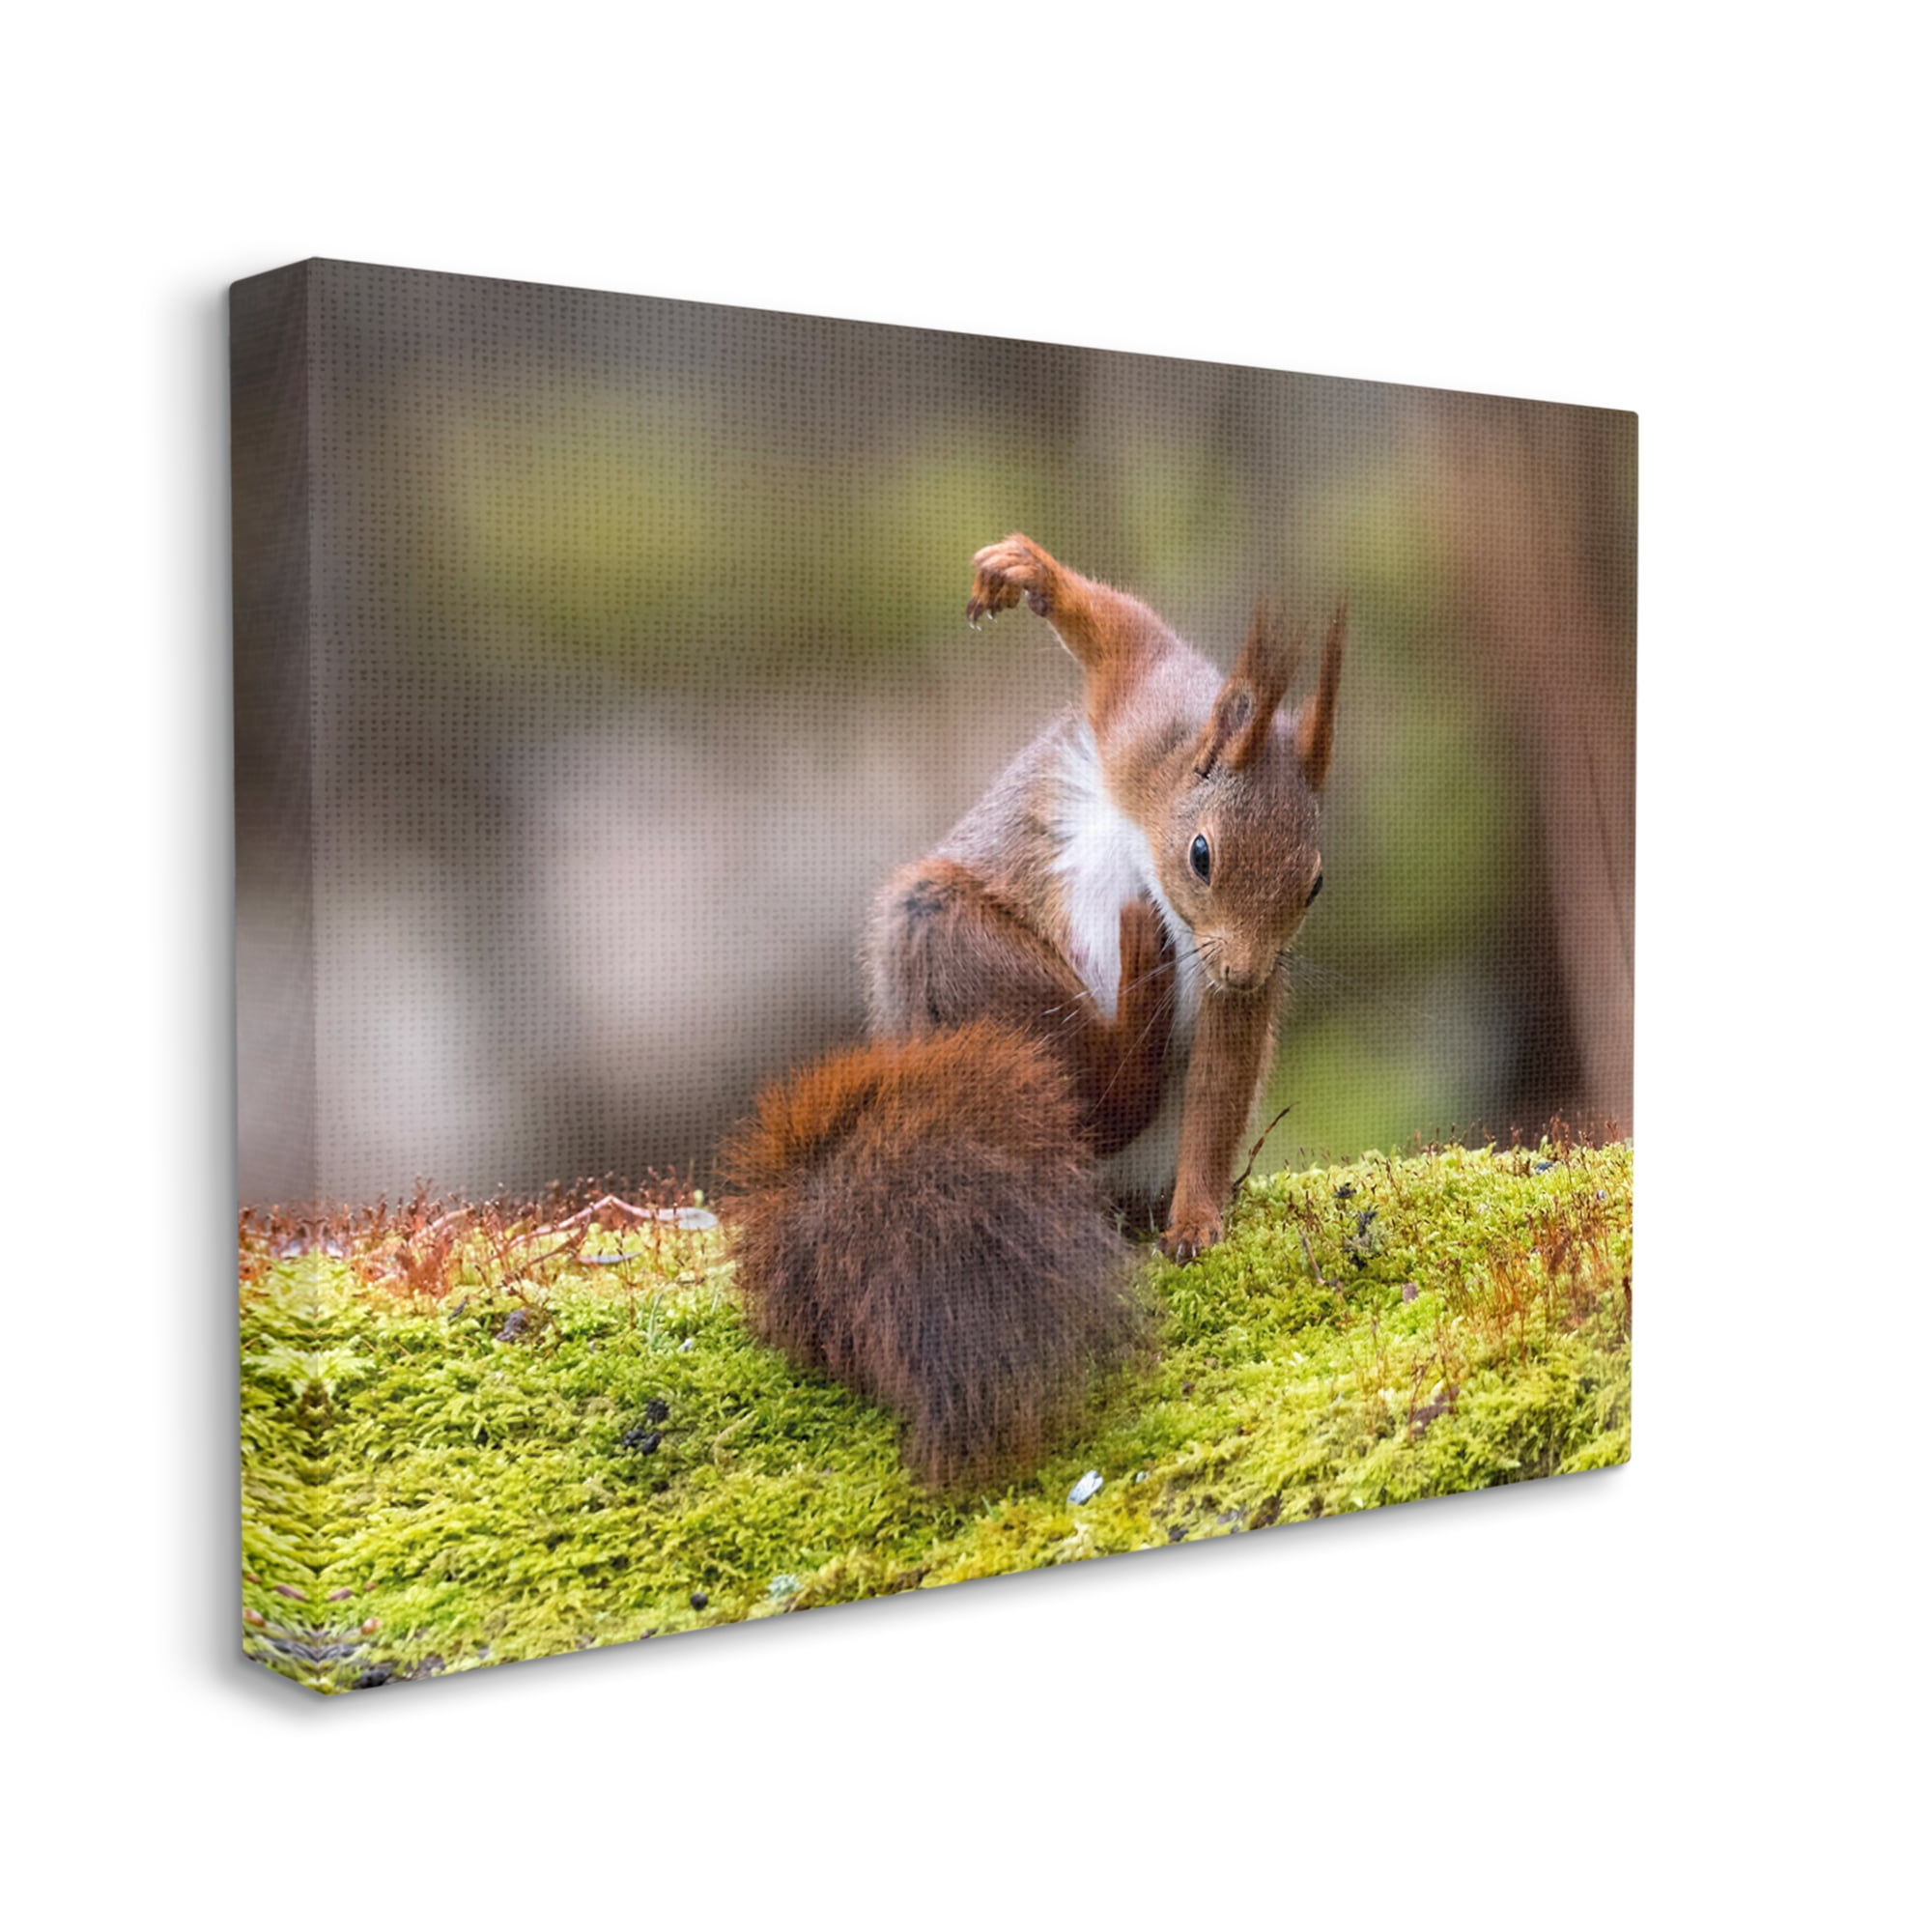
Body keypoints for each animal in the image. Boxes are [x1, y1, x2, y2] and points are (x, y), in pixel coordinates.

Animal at [723, 534, 1344, 1491]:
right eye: (1203, 854)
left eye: (1314, 884)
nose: (1242, 970)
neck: (1155, 828)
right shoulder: (1142, 716)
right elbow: (1122, 633)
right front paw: (1027, 575)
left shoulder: (1237, 992)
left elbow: (1219, 1090)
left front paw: (1197, 1220)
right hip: (948, 944)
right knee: (1097, 1091)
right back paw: (1133, 999)